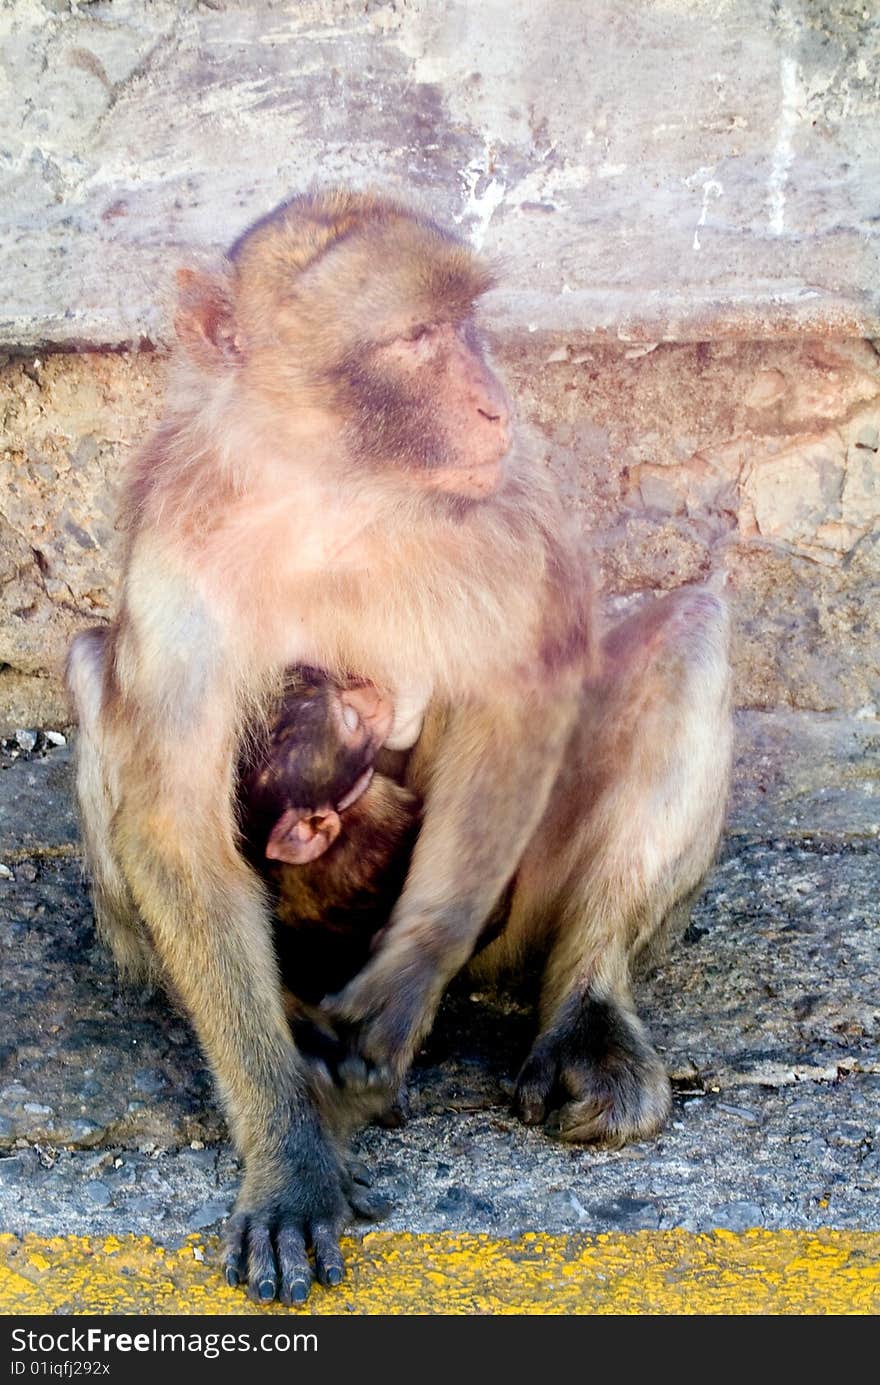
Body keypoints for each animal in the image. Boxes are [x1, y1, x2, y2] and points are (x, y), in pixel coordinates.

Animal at [67, 189, 731, 1301]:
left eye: (465, 324)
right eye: (416, 338)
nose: (494, 403)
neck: (334, 490)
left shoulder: (506, 510)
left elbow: (521, 697)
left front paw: (407, 978)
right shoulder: (177, 552)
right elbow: (173, 823)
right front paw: (289, 1146)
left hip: (520, 919)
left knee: (688, 634)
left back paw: (584, 1008)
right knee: (89, 665)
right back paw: (294, 1022)